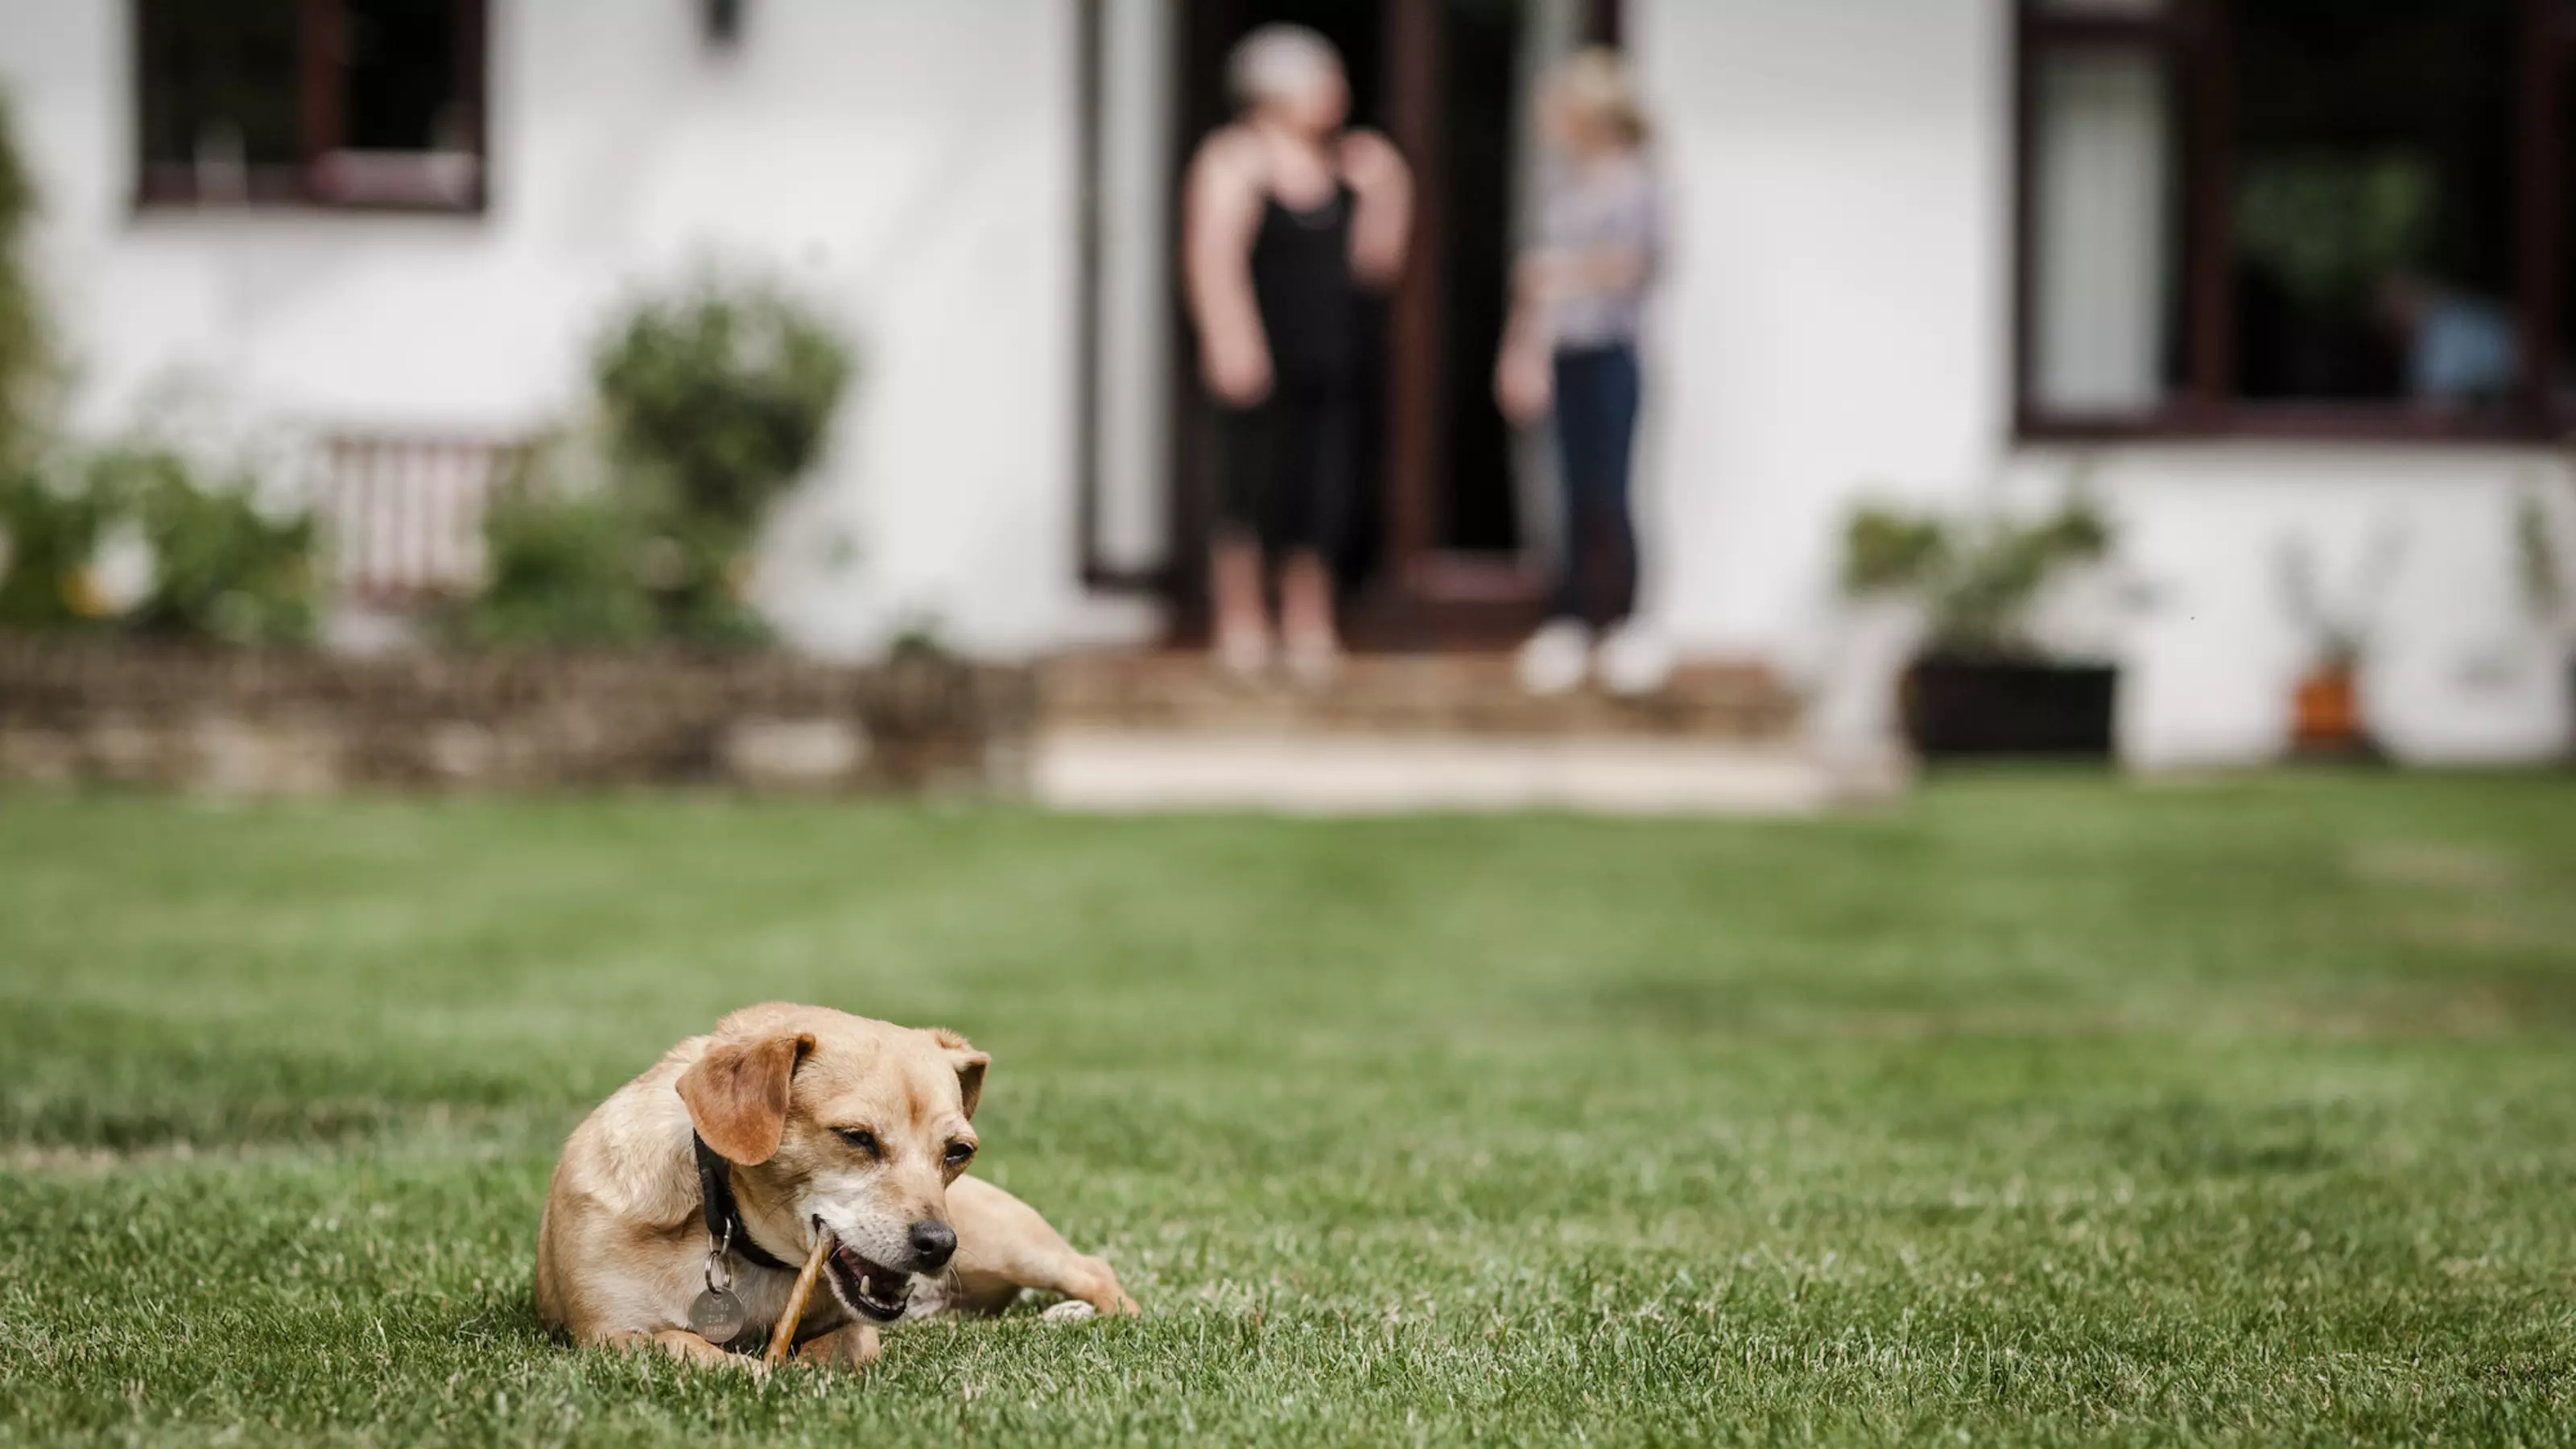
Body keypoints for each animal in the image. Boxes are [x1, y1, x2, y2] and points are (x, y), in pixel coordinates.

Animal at [535, 1005, 1138, 1361]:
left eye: (958, 1151)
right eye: (856, 1137)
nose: (939, 1244)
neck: (727, 1225)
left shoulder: (856, 1325)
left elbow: (847, 1343)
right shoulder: (607, 1335)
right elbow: (683, 1343)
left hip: (1009, 1246)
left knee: (1095, 1271)